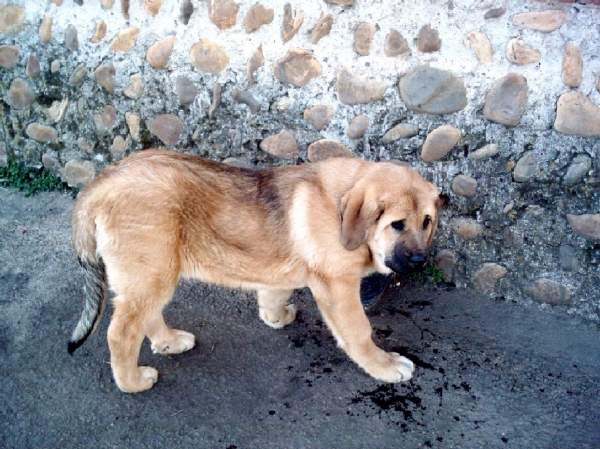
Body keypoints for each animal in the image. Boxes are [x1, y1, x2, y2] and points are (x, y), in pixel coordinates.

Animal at [69, 149, 446, 390]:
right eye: (397, 225)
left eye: (427, 222)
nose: (419, 261)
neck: (340, 211)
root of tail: (100, 184)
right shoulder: (338, 286)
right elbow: (359, 332)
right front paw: (383, 365)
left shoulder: (287, 270)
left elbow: (275, 292)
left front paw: (274, 317)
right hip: (152, 272)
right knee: (121, 333)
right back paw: (132, 382)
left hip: (151, 274)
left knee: (145, 317)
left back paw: (169, 342)